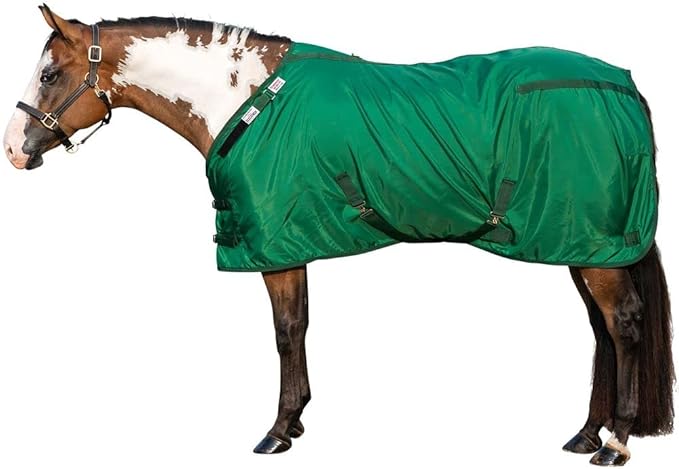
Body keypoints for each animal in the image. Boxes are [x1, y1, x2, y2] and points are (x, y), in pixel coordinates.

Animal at [3, 6, 674, 465]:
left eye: (50, 73)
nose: (13, 150)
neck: (246, 101)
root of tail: (624, 86)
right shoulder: (290, 242)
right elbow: (299, 328)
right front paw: (295, 422)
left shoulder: (275, 246)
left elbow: (285, 332)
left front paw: (278, 431)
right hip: (581, 246)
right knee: (602, 332)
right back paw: (585, 433)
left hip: (596, 249)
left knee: (624, 325)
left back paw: (614, 442)